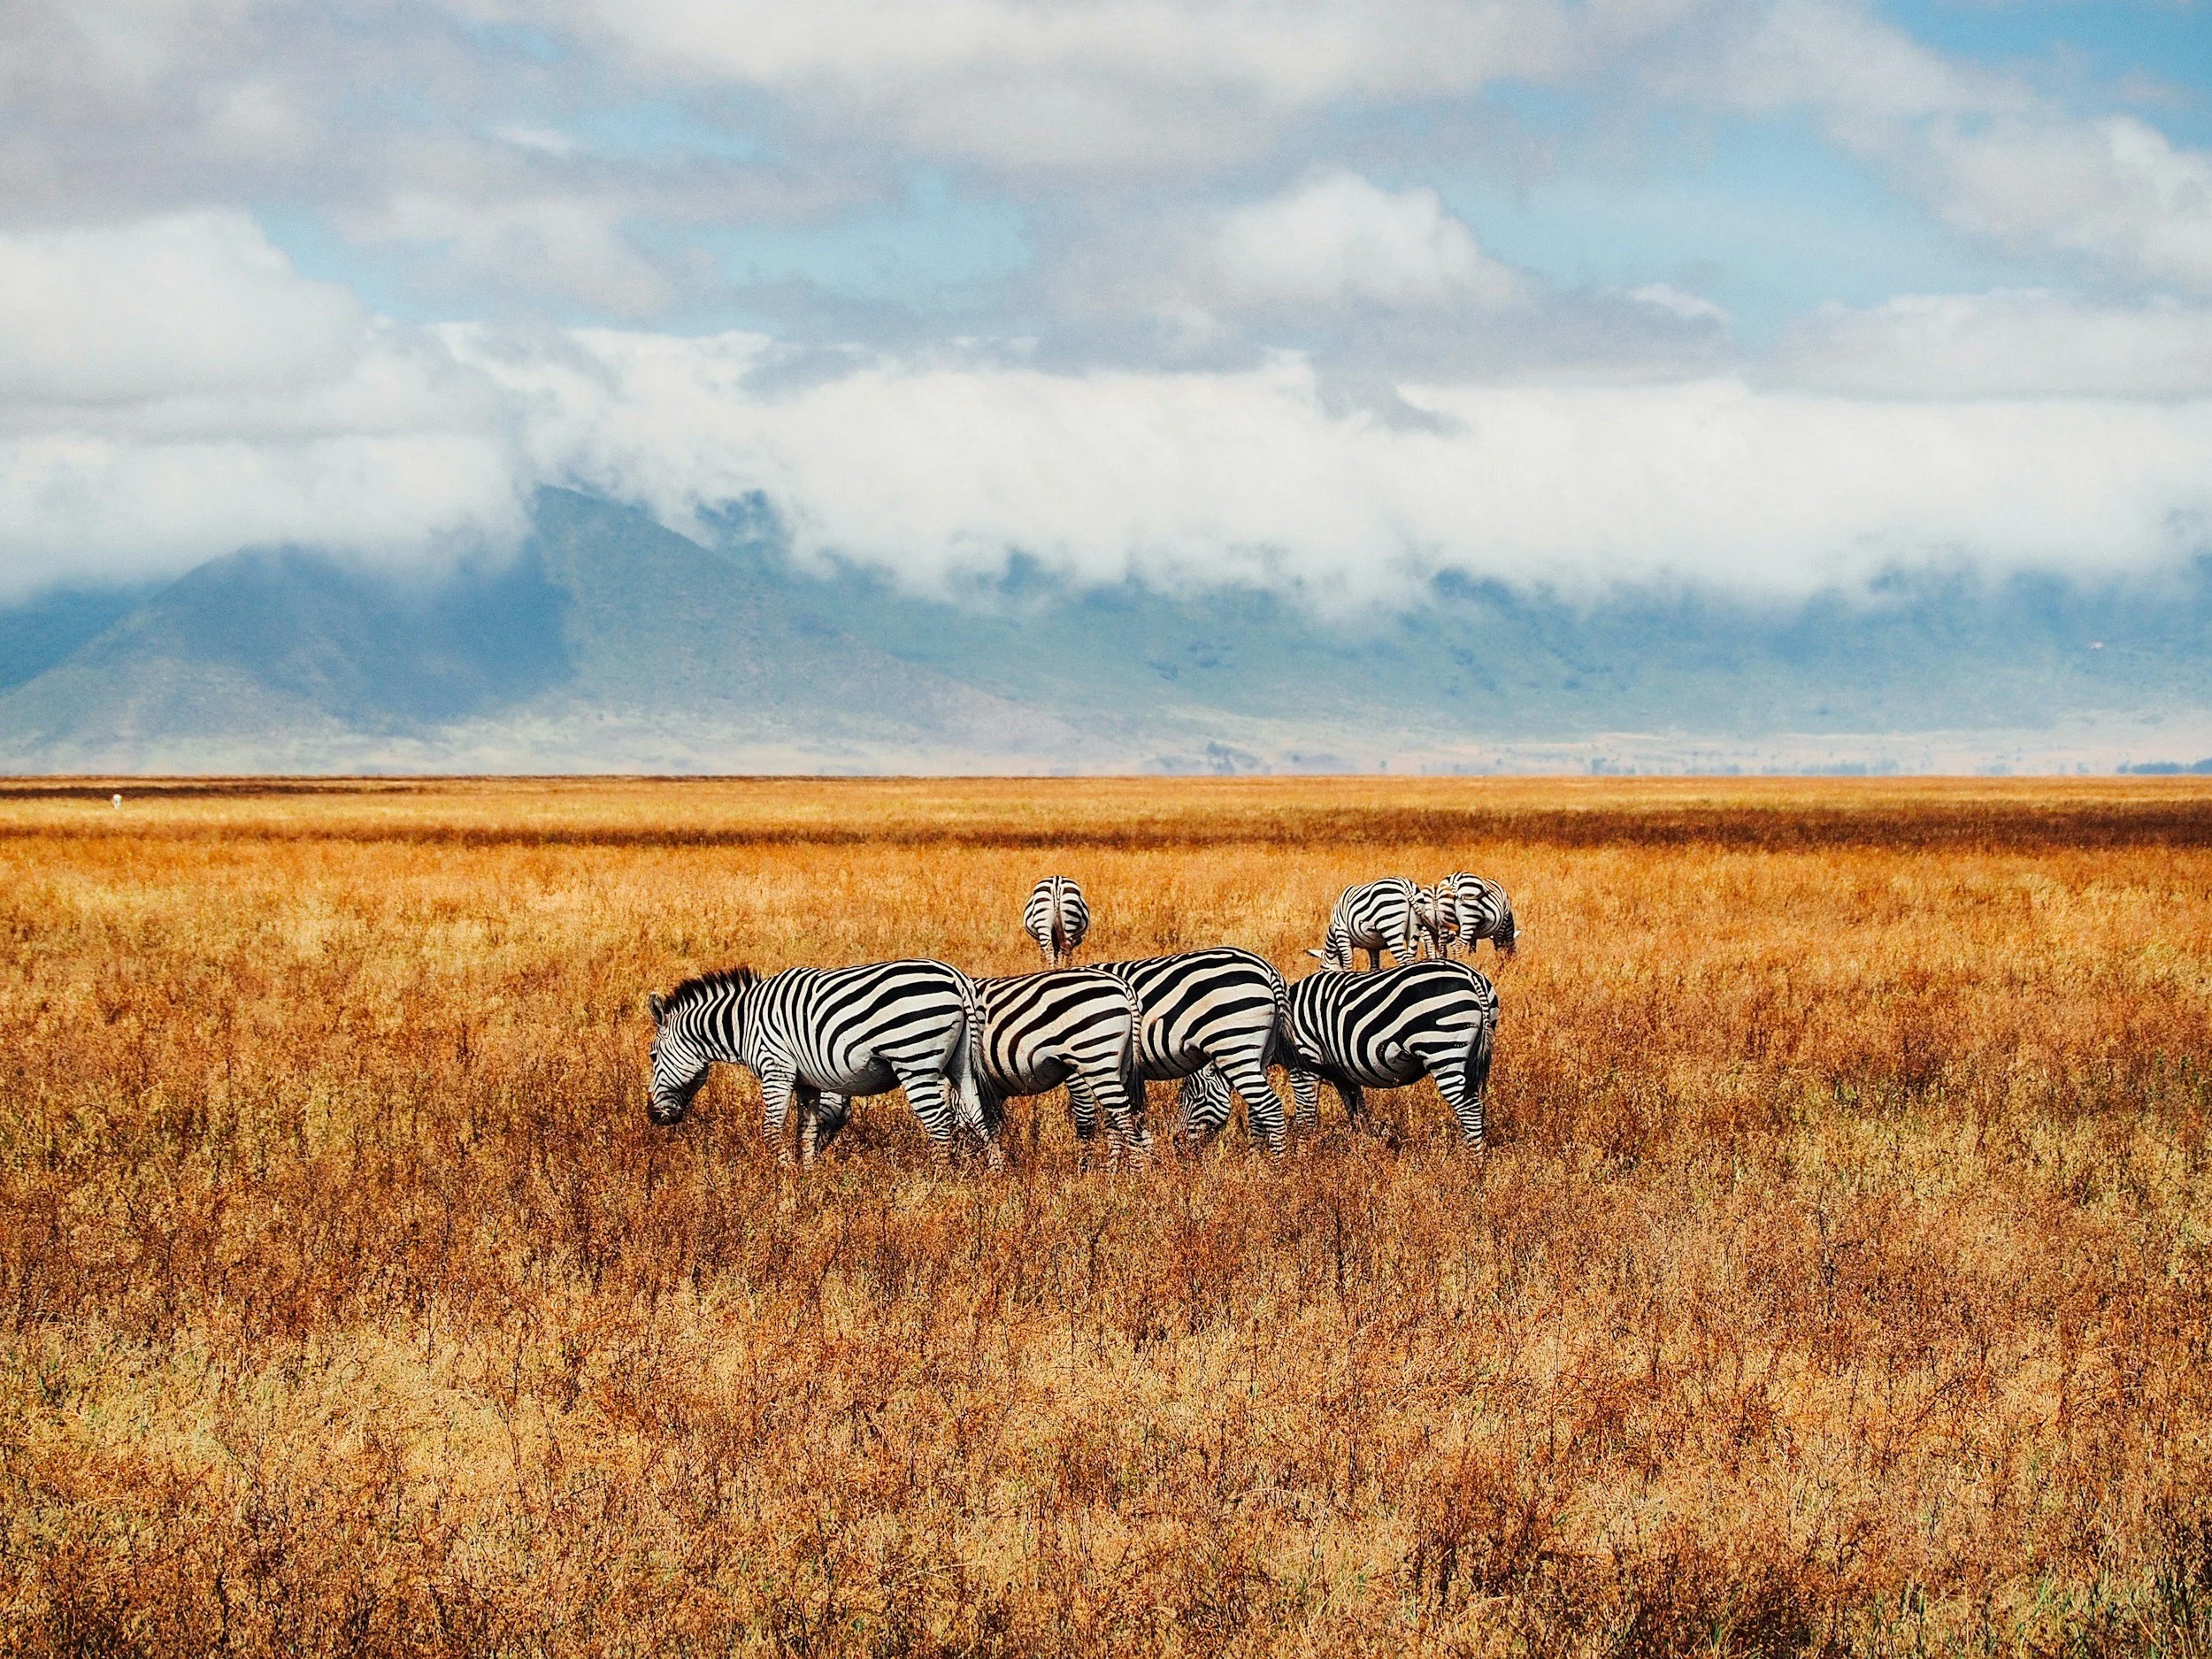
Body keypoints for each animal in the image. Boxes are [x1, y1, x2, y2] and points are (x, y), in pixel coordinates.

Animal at [645, 960, 995, 1168]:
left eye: (652, 1056)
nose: (652, 1116)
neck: (744, 1023)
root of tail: (954, 976)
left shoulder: (776, 1069)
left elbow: (771, 1130)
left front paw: (785, 1176)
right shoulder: (808, 1083)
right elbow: (807, 1131)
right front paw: (808, 1176)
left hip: (914, 1061)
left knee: (940, 1125)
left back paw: (938, 1182)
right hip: (960, 1063)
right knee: (979, 1117)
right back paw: (994, 1176)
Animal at [1094, 947, 1295, 1154]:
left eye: (1197, 1099)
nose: (1177, 1142)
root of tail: (1267, 969)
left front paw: (1114, 1160)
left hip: (1233, 1047)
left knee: (1270, 1107)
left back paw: (1276, 1161)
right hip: (1261, 1053)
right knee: (1256, 1110)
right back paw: (1256, 1157)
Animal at [1311, 877, 1437, 971]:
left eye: (1322, 969)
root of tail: (1404, 884)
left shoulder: (1342, 934)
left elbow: (1347, 964)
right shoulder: (1373, 946)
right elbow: (1374, 967)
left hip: (1391, 927)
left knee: (1404, 959)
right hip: (1414, 928)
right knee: (1410, 957)